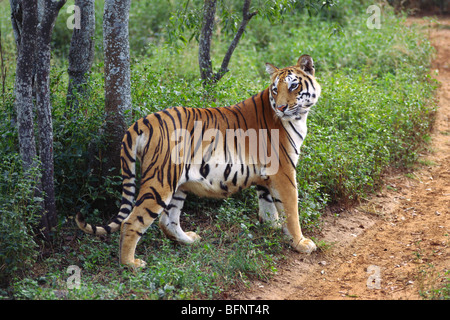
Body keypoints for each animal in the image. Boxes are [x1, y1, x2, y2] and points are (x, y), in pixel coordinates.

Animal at [76, 55, 320, 268]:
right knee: (132, 221)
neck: (298, 118)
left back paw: (189, 240)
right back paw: (130, 264)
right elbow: (291, 209)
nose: (281, 108)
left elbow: (268, 203)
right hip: (160, 182)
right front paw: (300, 242)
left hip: (178, 184)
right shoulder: (284, 171)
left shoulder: (265, 175)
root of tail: (144, 120)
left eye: (293, 86)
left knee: (168, 221)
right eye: (275, 89)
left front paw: (273, 226)